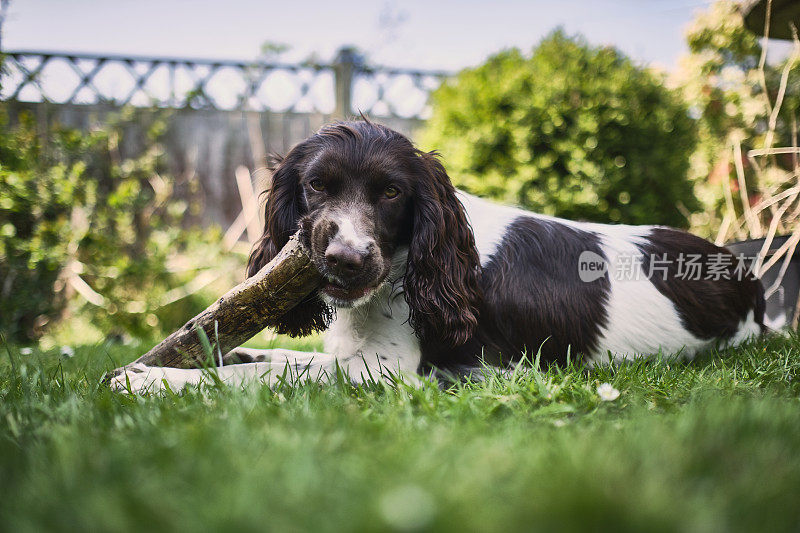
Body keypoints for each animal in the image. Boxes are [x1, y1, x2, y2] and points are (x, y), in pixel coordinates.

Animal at [109, 120, 764, 390]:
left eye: (391, 193)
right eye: (316, 185)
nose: (346, 260)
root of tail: (748, 278)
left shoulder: (399, 372)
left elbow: (260, 377)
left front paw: (148, 380)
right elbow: (277, 359)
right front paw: (217, 353)